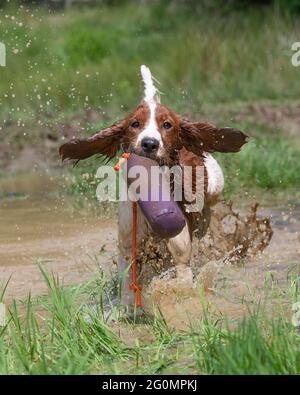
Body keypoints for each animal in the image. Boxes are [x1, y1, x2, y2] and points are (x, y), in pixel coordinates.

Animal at [59, 65, 247, 310]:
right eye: (134, 124)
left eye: (167, 125)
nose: (149, 143)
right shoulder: (128, 243)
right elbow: (127, 281)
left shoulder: (179, 245)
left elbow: (181, 273)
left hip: (214, 186)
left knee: (207, 210)